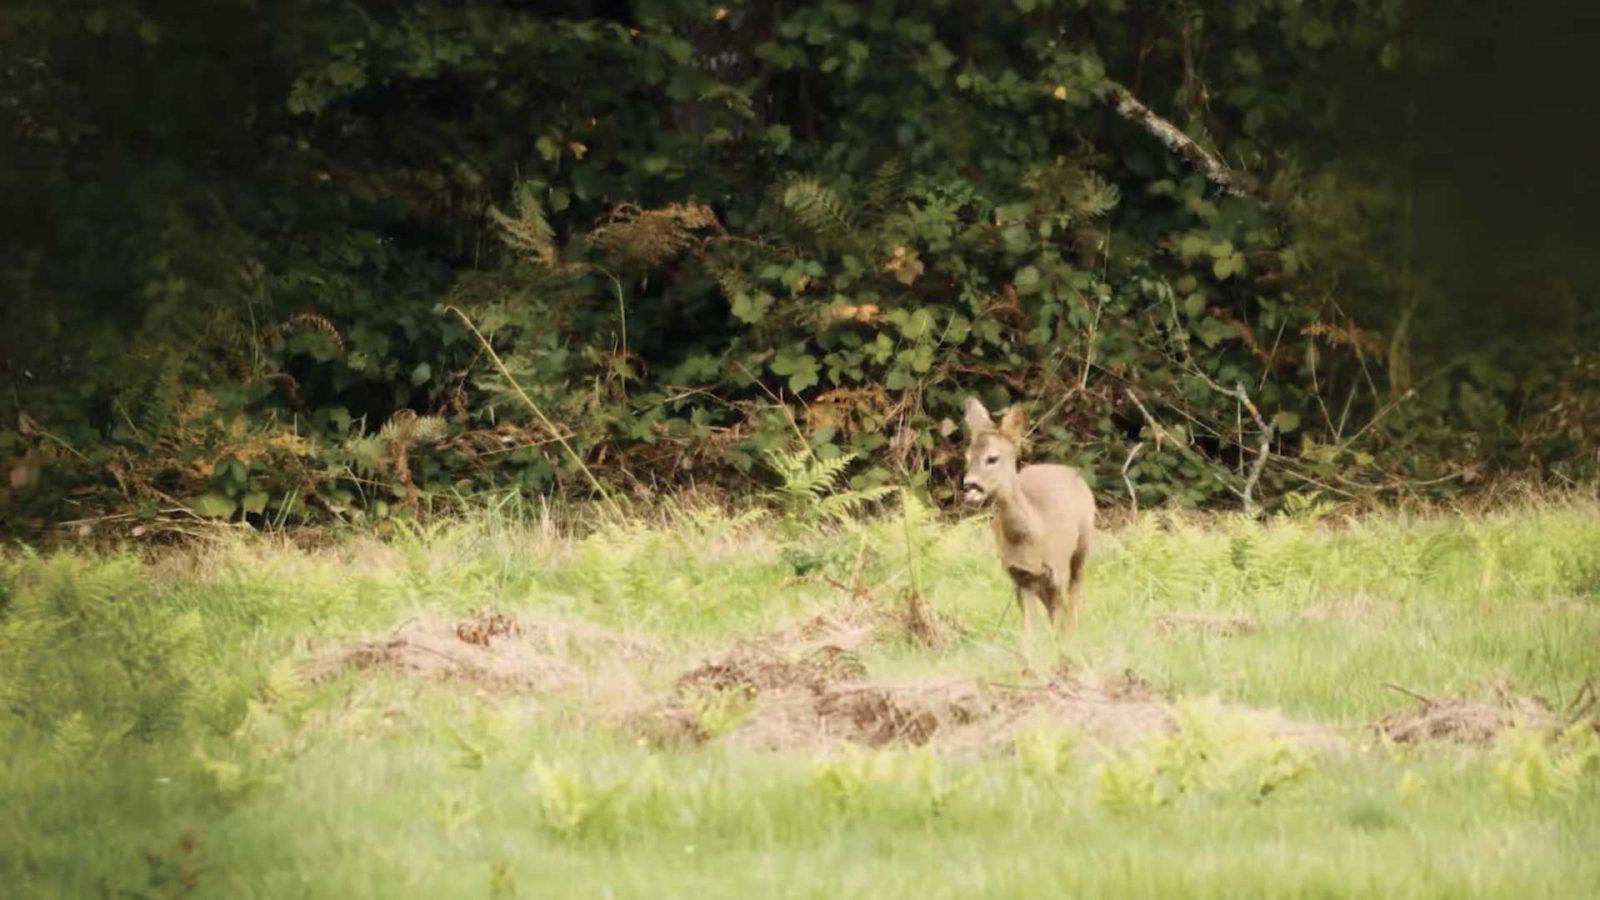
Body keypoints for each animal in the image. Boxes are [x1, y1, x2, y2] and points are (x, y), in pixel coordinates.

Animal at [953, 395, 1094, 646]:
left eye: (992, 458)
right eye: (968, 457)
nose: (970, 486)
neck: (1034, 533)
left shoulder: (1055, 570)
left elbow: (1058, 616)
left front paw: (1062, 650)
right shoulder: (1019, 577)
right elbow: (1028, 631)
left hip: (1082, 545)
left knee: (1074, 595)